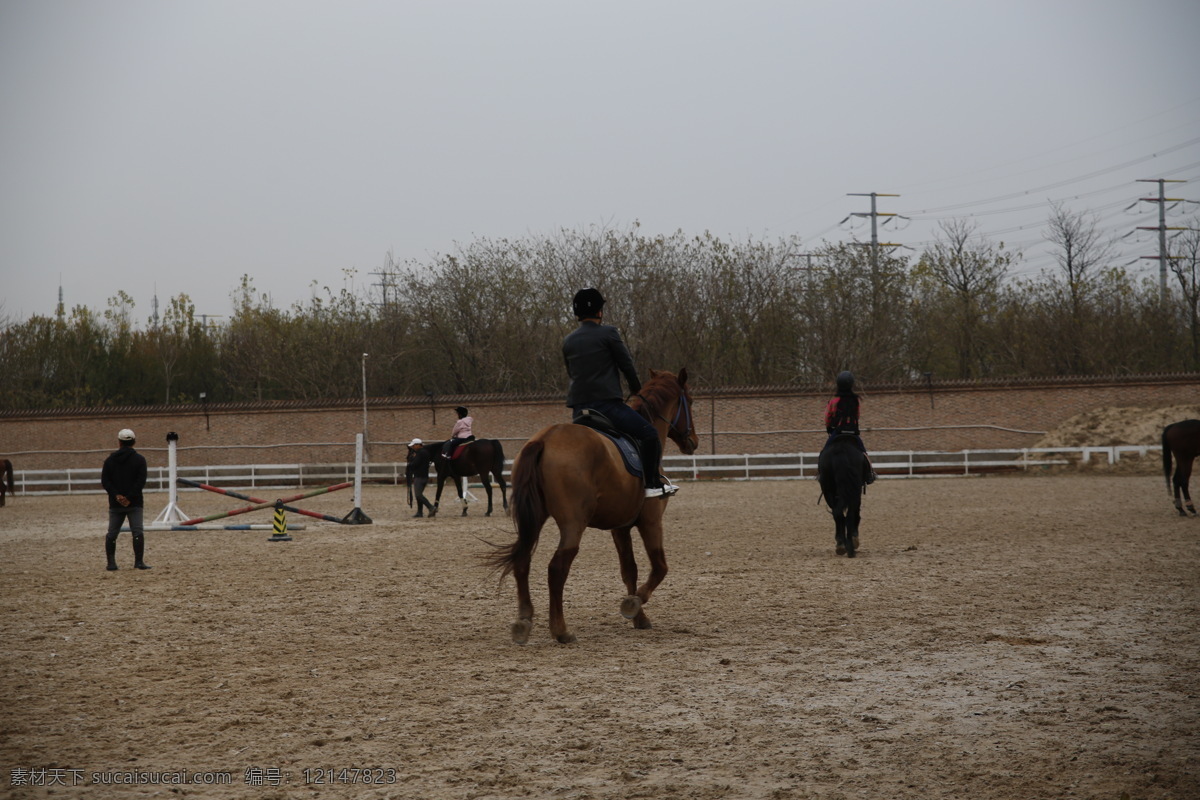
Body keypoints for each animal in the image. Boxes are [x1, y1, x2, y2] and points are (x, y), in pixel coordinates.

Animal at [484, 369, 700, 642]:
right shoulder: (651, 521)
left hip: (534, 518)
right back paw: (561, 630)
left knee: (522, 560)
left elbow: (629, 570)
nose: (693, 441)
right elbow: (660, 567)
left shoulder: (620, 527)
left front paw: (639, 618)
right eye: (690, 401)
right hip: (573, 523)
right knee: (557, 568)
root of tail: (545, 438)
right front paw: (634, 603)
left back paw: (524, 621)